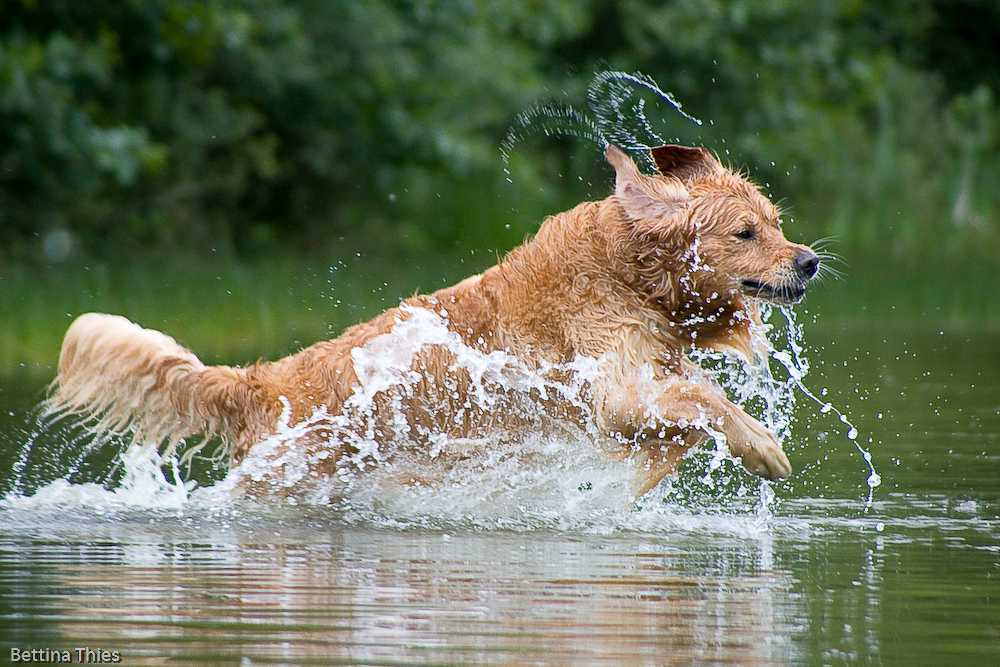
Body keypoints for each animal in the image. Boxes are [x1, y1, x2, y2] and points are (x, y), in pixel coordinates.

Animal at [50, 145, 820, 496]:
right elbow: (707, 399)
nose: (810, 260)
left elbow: (695, 395)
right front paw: (763, 446)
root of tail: (256, 381)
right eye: (746, 232)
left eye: (777, 222)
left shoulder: (647, 375)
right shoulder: (611, 390)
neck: (624, 271)